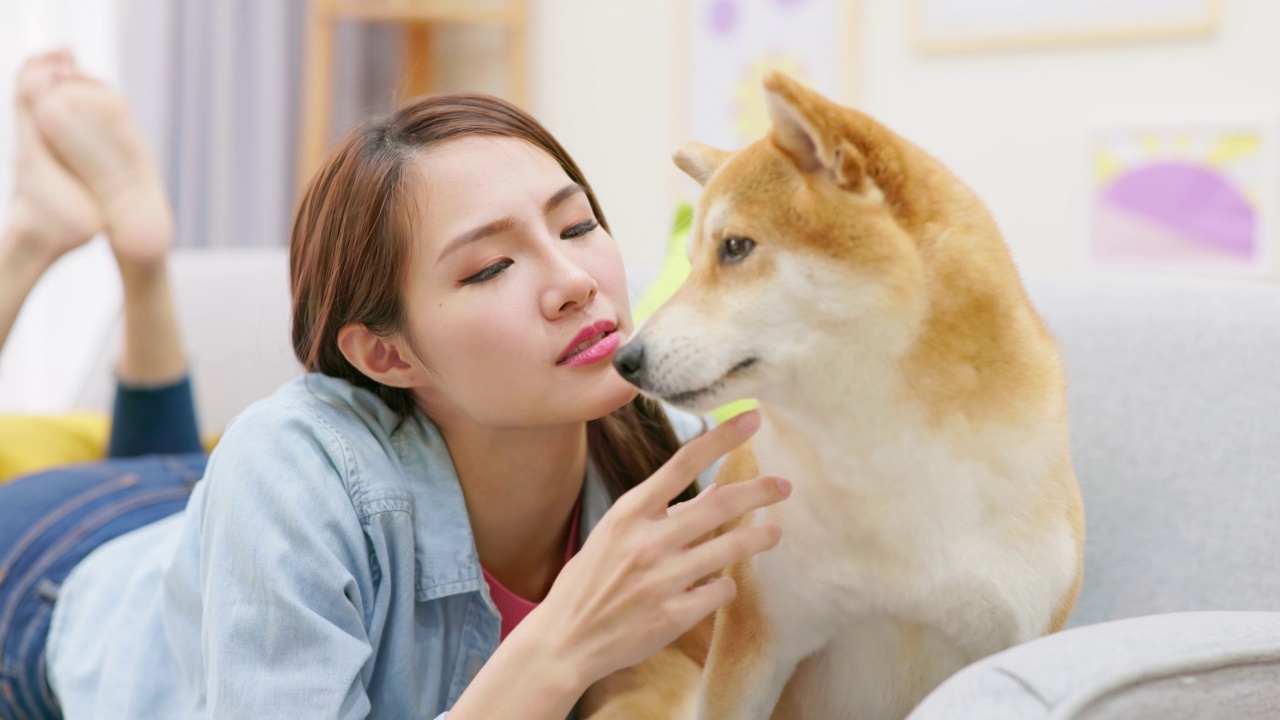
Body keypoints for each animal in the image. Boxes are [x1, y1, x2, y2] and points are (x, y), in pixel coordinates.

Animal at [586, 74, 1085, 717]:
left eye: (736, 247)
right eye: (691, 262)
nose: (625, 360)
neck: (880, 459)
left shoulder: (1011, 642)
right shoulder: (753, 641)